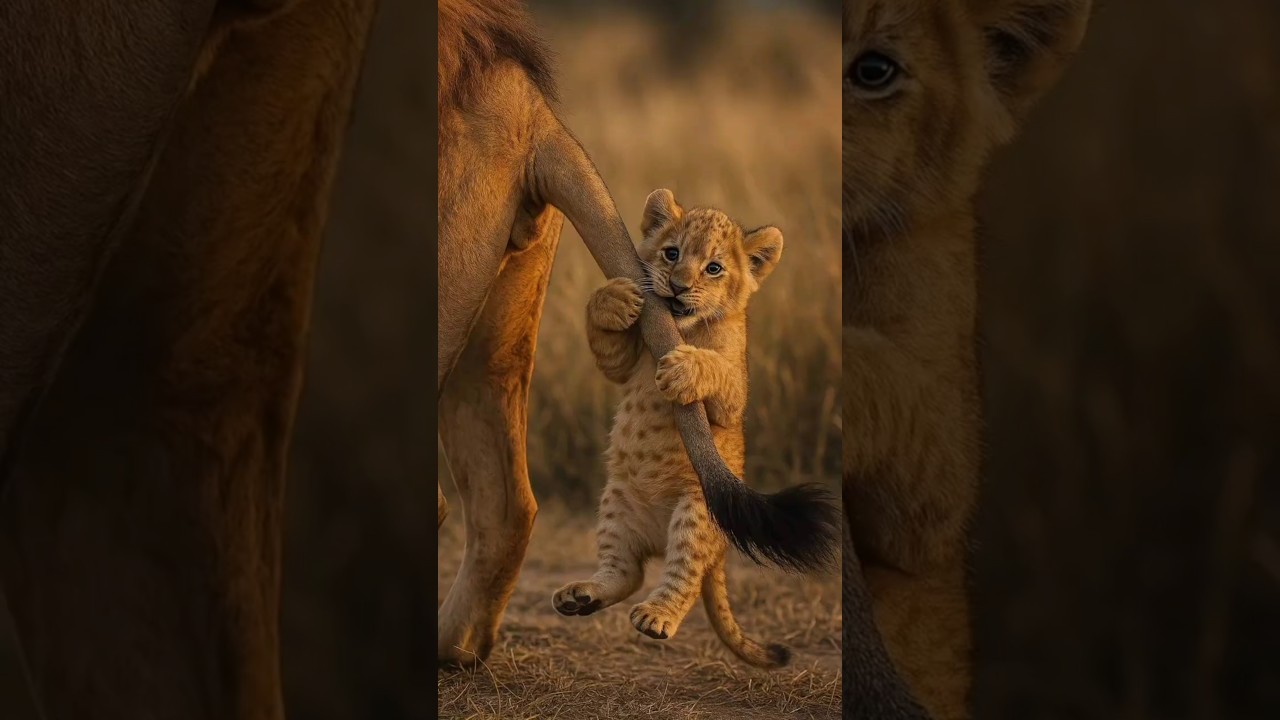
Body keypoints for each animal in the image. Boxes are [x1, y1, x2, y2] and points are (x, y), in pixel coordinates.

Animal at [437, 0, 838, 667]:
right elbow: (612, 351)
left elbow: (721, 377)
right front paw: (616, 298)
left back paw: (656, 617)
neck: (683, 325)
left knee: (679, 574)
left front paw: (685, 367)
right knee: (622, 570)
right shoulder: (626, 363)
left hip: (696, 513)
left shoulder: (736, 396)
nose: (675, 286)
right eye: (671, 253)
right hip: (615, 511)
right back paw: (579, 596)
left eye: (714, 268)